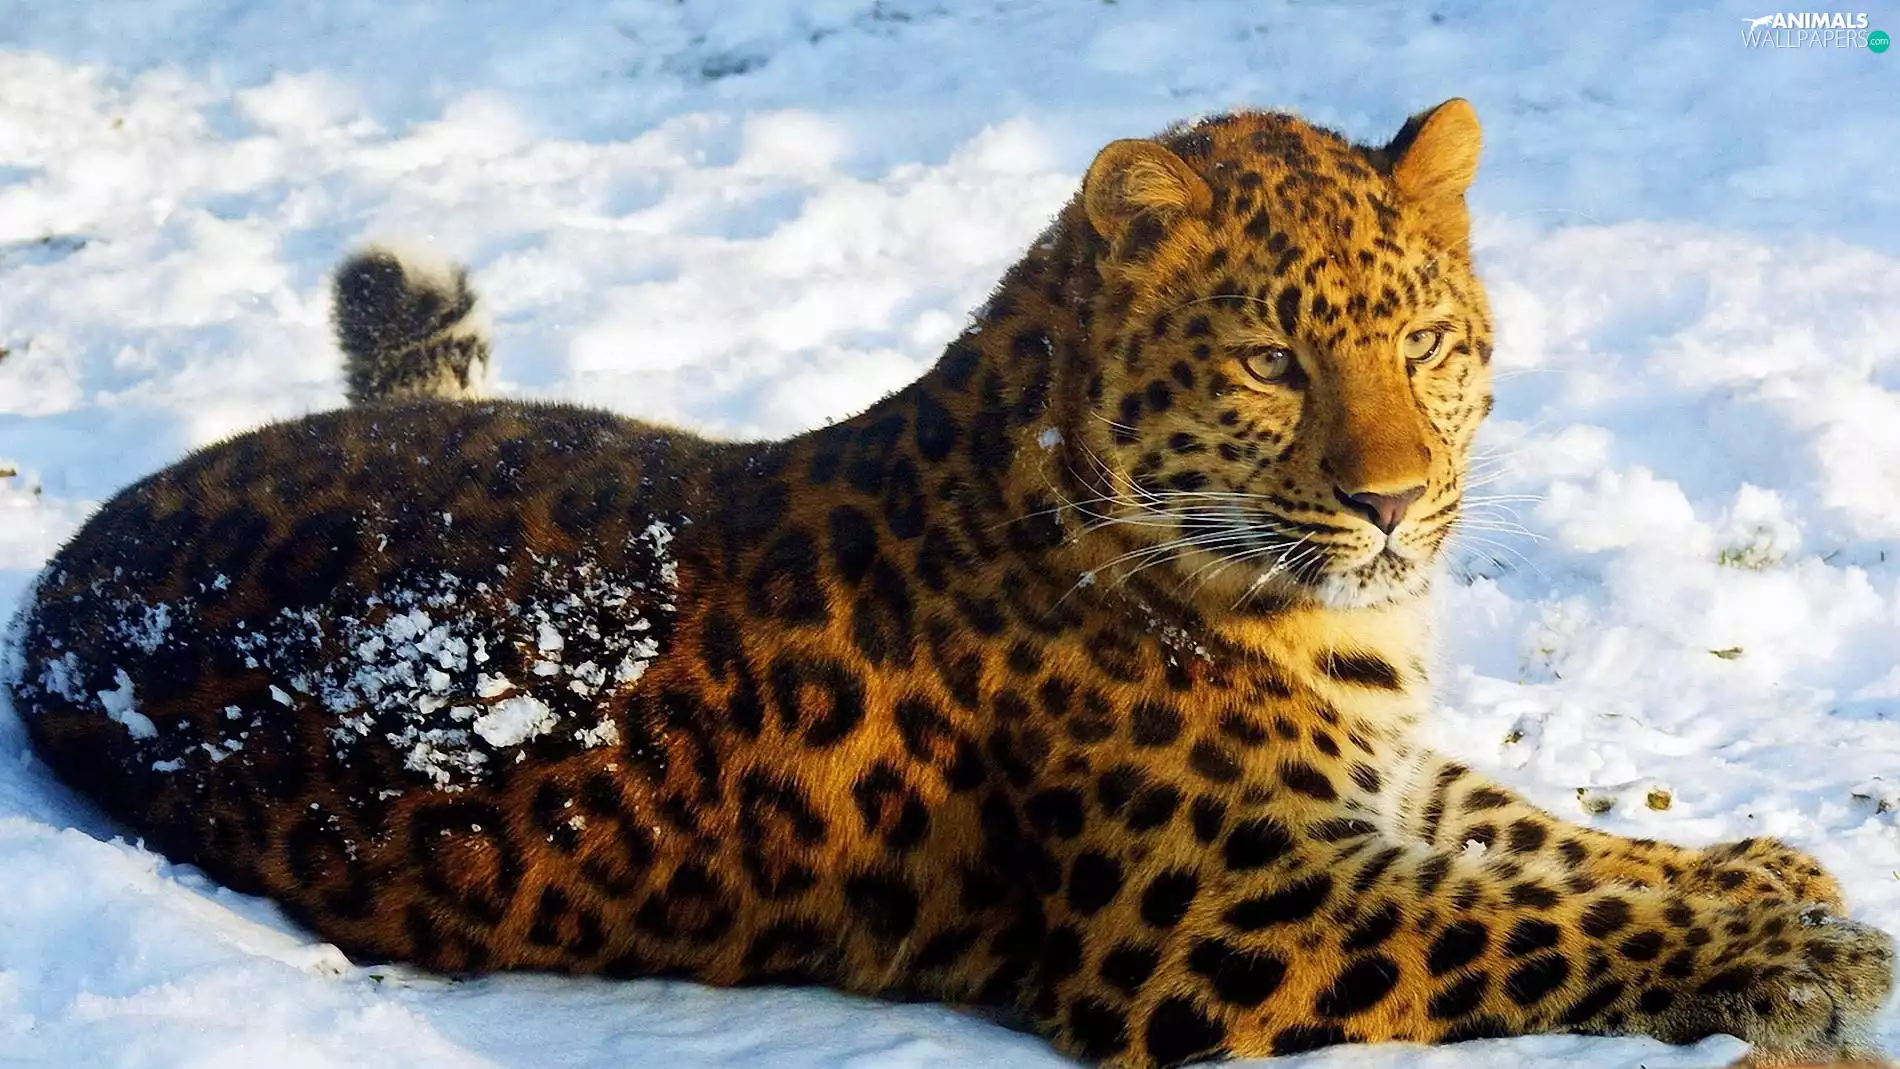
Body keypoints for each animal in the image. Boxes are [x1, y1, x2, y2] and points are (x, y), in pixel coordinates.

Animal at [5, 100, 1893, 1068]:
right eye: (1275, 361)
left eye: (1427, 344)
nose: (1394, 502)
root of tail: (69, 578)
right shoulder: (1238, 920)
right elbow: (1536, 915)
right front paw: (1806, 947)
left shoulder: (1369, 784)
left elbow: (1534, 832)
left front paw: (1769, 870)